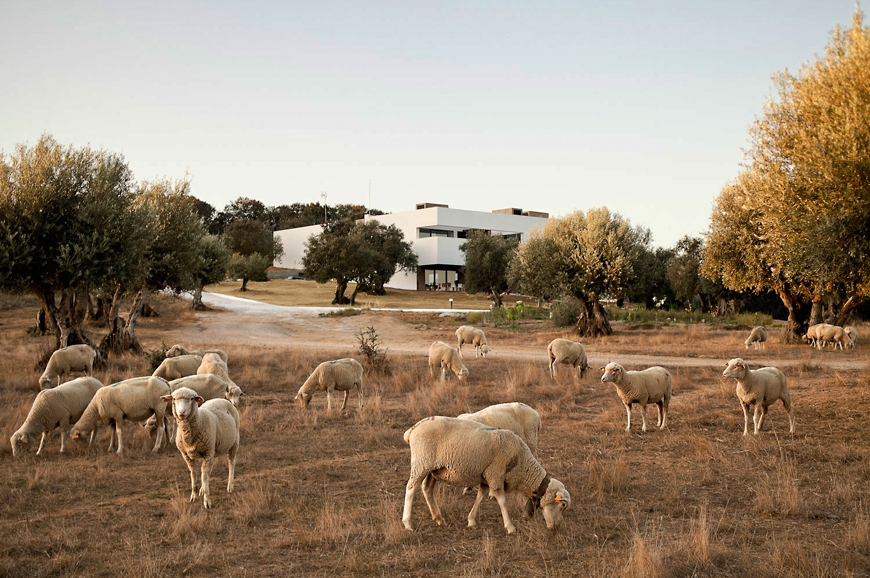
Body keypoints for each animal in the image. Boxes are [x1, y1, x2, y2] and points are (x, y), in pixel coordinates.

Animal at [404, 414, 572, 532]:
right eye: (562, 505)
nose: (557, 528)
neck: (522, 465)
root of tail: (413, 429)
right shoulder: (495, 474)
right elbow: (502, 500)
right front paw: (510, 527)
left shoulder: (486, 476)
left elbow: (480, 496)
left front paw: (471, 521)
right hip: (422, 463)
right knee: (411, 489)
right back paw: (407, 523)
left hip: (434, 470)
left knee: (427, 489)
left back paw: (439, 519)